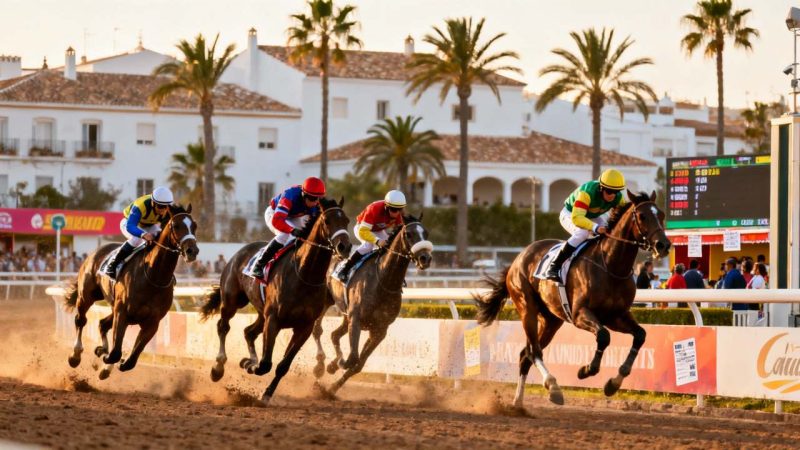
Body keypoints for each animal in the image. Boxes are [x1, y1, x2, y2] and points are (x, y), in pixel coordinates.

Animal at [64, 204, 199, 379]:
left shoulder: (152, 322)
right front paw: (103, 355)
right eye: (176, 225)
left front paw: (106, 358)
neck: (154, 276)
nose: (192, 251)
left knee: (102, 324)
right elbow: (115, 353)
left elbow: (130, 361)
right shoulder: (122, 312)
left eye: (194, 225)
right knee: (81, 320)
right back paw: (75, 355)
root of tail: (95, 252)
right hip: (86, 296)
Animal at [200, 197, 351, 404]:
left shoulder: (304, 327)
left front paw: (265, 390)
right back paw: (218, 368)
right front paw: (251, 365)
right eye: (327, 221)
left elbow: (282, 366)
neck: (304, 274)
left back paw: (248, 359)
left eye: (347, 221)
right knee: (223, 326)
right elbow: (265, 364)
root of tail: (239, 253)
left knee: (248, 332)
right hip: (232, 301)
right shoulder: (274, 320)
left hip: (260, 312)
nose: (345, 247)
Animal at [312, 214, 433, 394]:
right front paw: (338, 364)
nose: (425, 258)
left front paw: (332, 388)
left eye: (425, 233)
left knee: (334, 335)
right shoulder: (356, 320)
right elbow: (353, 358)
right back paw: (320, 365)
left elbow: (358, 365)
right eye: (409, 234)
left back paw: (331, 364)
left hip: (346, 316)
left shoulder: (379, 330)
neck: (383, 280)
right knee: (317, 329)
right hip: (327, 301)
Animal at [475, 191, 671, 407]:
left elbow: (640, 335)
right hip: (527, 309)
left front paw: (614, 382)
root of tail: (517, 259)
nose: (663, 245)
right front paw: (586, 370)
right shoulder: (579, 314)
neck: (610, 266)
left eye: (661, 214)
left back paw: (519, 401)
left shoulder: (617, 316)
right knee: (534, 352)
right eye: (642, 216)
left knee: (525, 355)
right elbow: (604, 336)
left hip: (551, 320)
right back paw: (553, 387)